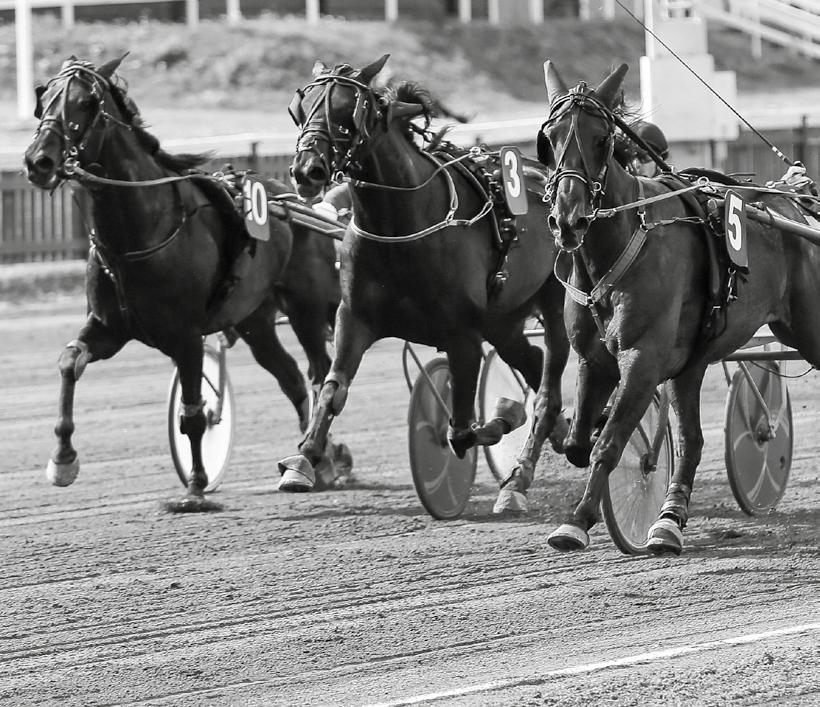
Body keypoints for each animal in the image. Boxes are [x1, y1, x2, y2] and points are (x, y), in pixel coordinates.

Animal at [24, 56, 342, 508]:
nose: (39, 161)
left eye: (85, 103)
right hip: (255, 322)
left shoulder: (187, 337)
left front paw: (195, 487)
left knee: (320, 373)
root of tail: (300, 203)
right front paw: (63, 460)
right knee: (292, 377)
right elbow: (70, 362)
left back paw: (321, 460)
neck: (138, 233)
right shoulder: (109, 328)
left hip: (306, 311)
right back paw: (313, 461)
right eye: (44, 98)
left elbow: (192, 415)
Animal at [278, 52, 572, 512]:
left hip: (554, 304)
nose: (307, 170)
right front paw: (304, 461)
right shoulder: (354, 318)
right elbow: (332, 390)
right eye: (301, 108)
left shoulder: (463, 335)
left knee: (547, 387)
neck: (402, 224)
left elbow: (460, 431)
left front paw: (504, 414)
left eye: (348, 109)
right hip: (504, 322)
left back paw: (518, 480)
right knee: (533, 361)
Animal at [540, 60, 820, 556]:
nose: (568, 219)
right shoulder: (595, 359)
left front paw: (577, 521)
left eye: (602, 138)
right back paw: (668, 522)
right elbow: (579, 443)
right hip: (691, 363)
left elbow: (608, 443)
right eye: (550, 138)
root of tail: (793, 203)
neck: (620, 242)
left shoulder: (643, 357)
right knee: (692, 439)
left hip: (811, 328)